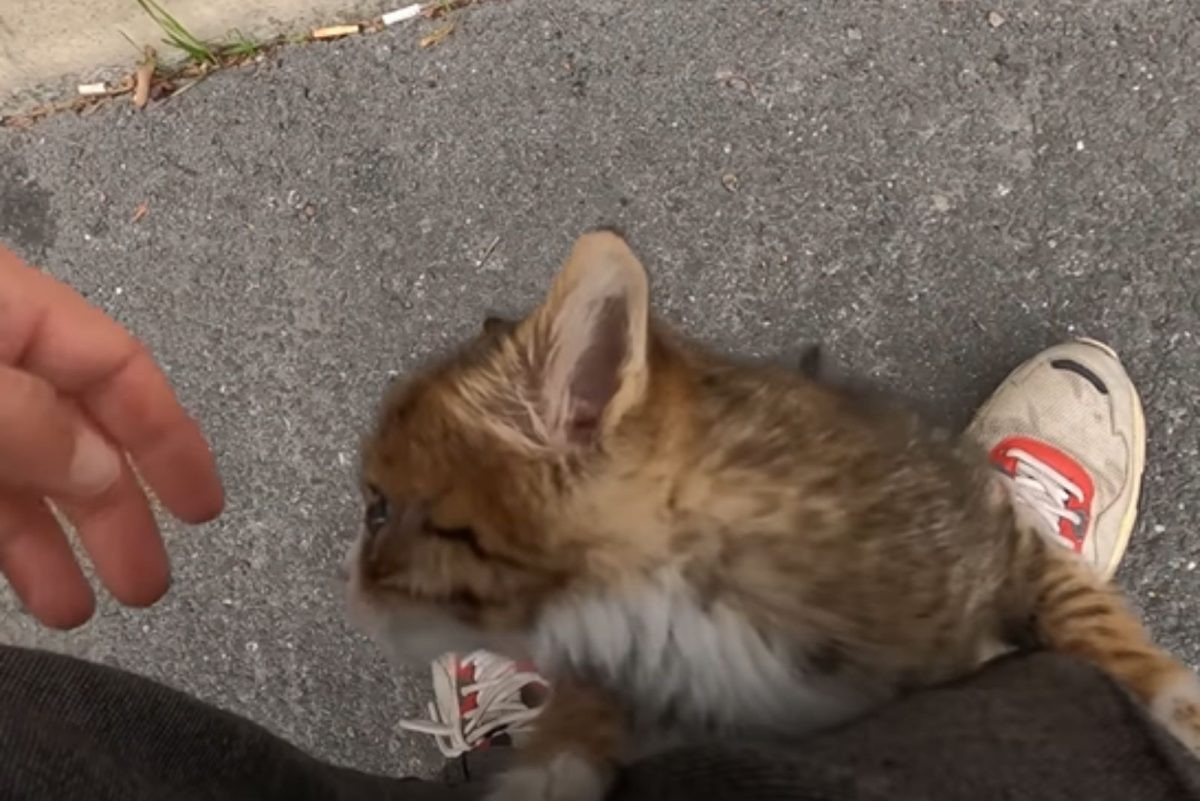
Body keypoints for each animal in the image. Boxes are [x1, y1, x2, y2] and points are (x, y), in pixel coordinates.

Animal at [348, 227, 1200, 801]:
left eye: (378, 508)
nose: (350, 588)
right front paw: (550, 766)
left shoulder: (995, 543)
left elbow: (1097, 629)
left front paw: (1177, 706)